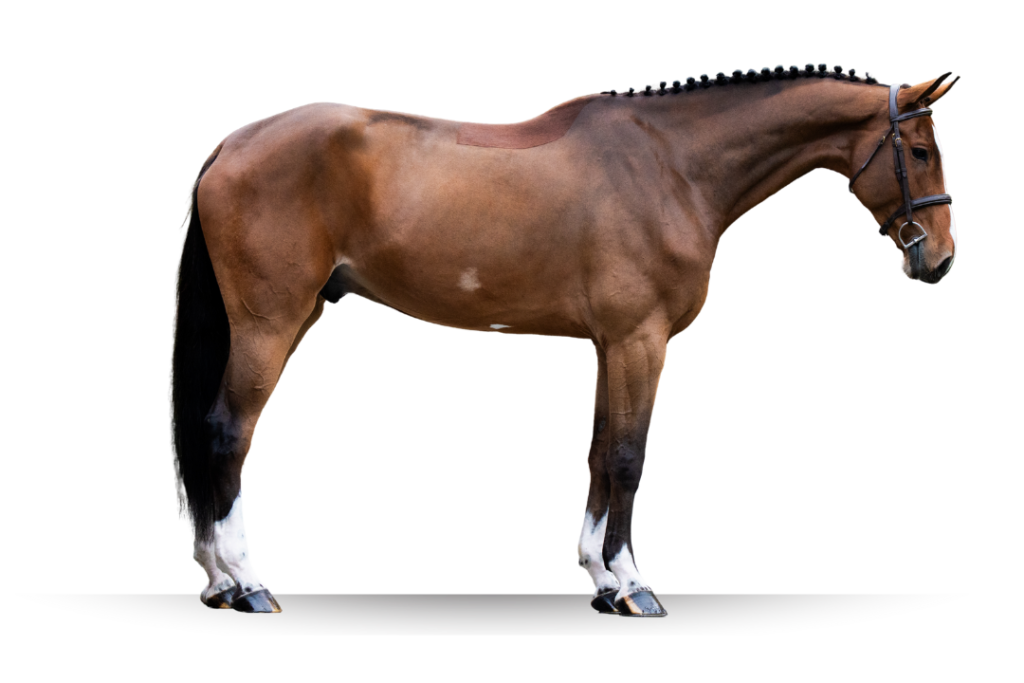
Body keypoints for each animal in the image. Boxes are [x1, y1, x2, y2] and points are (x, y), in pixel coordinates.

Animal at [170, 65, 959, 616]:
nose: (940, 258)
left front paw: (603, 580)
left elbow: (601, 450)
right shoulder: (642, 341)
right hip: (269, 322)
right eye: (921, 151)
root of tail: (232, 142)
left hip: (300, 315)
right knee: (229, 430)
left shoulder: (613, 344)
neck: (672, 164)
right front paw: (635, 587)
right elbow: (629, 456)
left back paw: (216, 582)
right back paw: (244, 582)